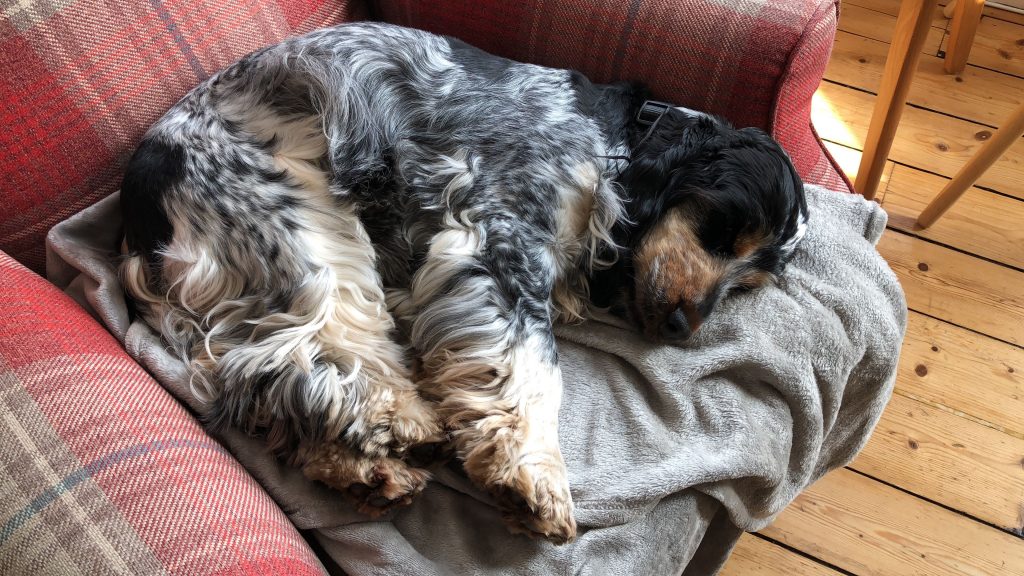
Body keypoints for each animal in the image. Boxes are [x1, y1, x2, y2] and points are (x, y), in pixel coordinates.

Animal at [119, 22, 806, 541]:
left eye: (747, 282)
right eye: (722, 232)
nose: (682, 328)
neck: (618, 144)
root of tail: (134, 198)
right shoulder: (498, 235)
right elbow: (534, 365)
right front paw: (534, 474)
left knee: (277, 385)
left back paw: (371, 473)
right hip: (297, 221)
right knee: (303, 355)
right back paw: (403, 422)